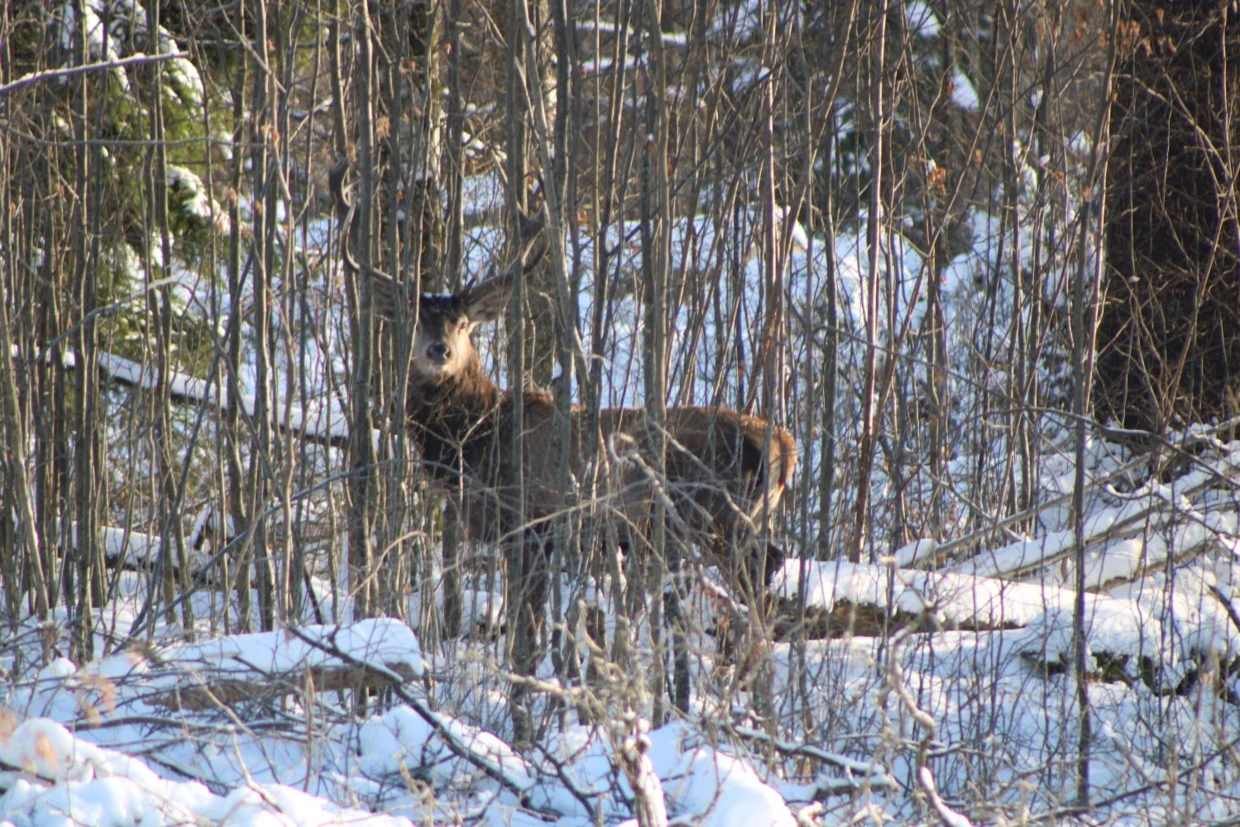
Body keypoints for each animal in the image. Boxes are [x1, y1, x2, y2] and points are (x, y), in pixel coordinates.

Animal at [329, 163, 793, 614]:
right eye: (416, 322)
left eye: (462, 324)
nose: (438, 350)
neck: (476, 438)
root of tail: (785, 448)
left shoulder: (532, 522)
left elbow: (527, 617)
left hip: (720, 517)